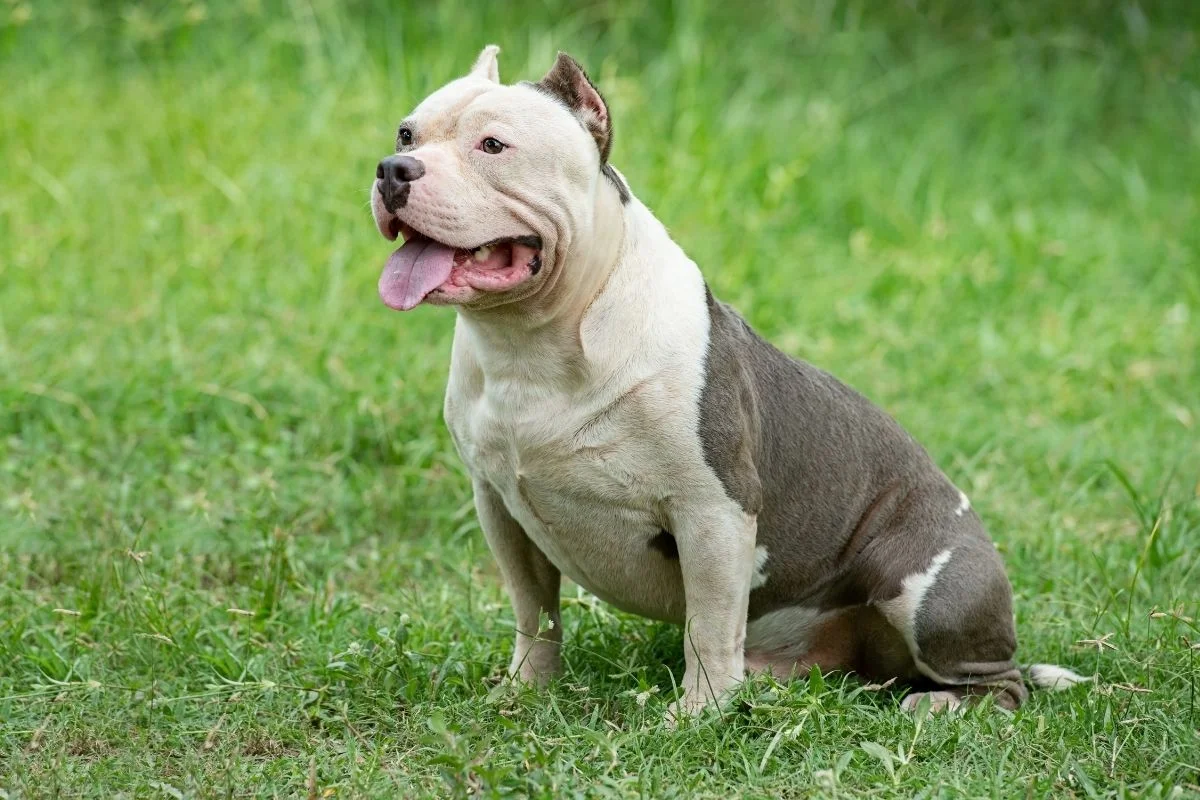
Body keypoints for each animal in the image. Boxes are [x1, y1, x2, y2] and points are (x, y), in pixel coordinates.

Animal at [369, 43, 1094, 719]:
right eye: (406, 133)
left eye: (493, 145)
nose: (392, 169)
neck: (535, 341)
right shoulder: (499, 505)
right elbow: (535, 611)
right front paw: (526, 689)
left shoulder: (713, 509)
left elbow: (709, 625)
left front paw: (699, 714)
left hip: (929, 591)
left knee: (996, 683)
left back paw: (938, 704)